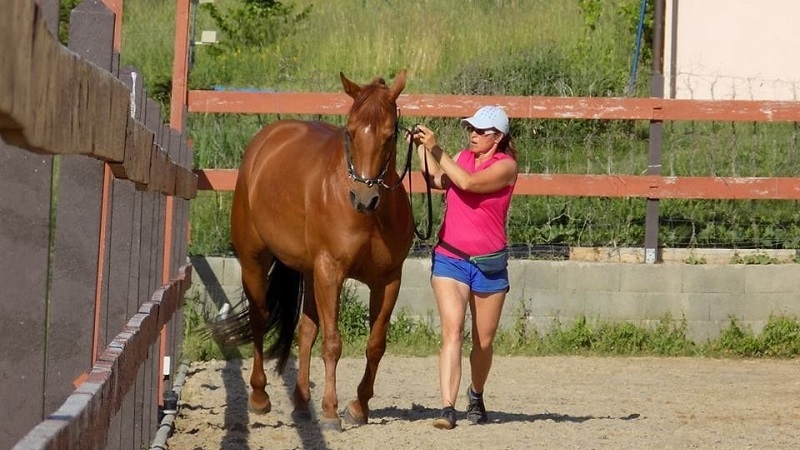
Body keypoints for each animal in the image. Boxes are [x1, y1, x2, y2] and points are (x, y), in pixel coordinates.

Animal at [225, 69, 412, 428]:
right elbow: (333, 342)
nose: (363, 199)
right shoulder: (331, 272)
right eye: (350, 132)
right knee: (259, 319)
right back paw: (260, 396)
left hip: (311, 274)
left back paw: (301, 401)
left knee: (306, 330)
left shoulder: (389, 281)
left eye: (390, 135)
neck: (370, 219)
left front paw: (358, 406)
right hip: (255, 261)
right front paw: (329, 410)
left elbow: (375, 344)